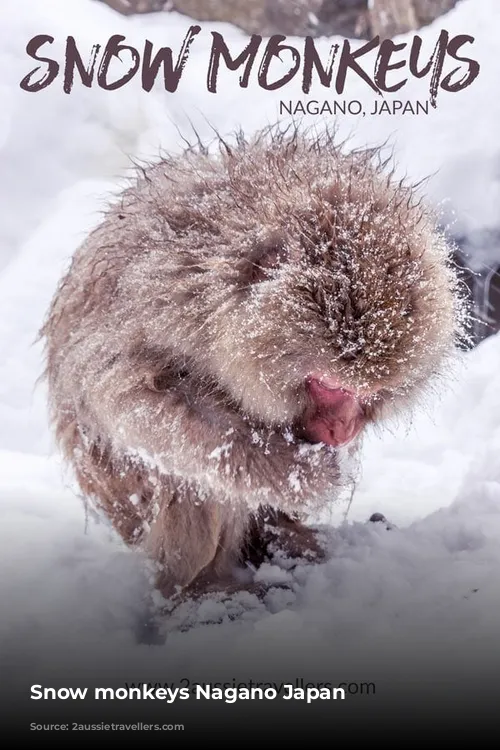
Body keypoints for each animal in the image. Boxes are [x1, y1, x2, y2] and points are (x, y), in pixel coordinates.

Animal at [41, 126, 466, 604]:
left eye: (367, 393)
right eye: (328, 385)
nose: (345, 429)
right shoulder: (162, 296)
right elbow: (124, 396)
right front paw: (295, 472)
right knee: (187, 472)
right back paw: (198, 589)